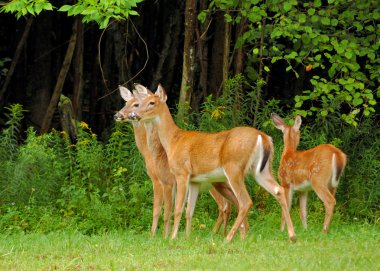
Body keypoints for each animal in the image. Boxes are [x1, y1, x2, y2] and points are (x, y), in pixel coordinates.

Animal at [114, 86, 236, 239]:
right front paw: (167, 235)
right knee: (230, 205)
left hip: (214, 183)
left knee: (224, 206)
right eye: (126, 103)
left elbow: (161, 210)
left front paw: (157, 236)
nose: (118, 115)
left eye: (136, 104)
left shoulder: (162, 180)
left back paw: (217, 234)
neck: (152, 154)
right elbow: (171, 209)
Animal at [127, 84, 296, 243]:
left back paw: (228, 238)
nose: (134, 115)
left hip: (234, 168)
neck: (173, 141)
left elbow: (178, 209)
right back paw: (292, 235)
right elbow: (189, 210)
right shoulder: (194, 180)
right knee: (279, 191)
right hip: (261, 170)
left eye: (151, 102)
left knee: (245, 202)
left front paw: (172, 237)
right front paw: (186, 238)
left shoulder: (181, 173)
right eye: (140, 103)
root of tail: (264, 137)